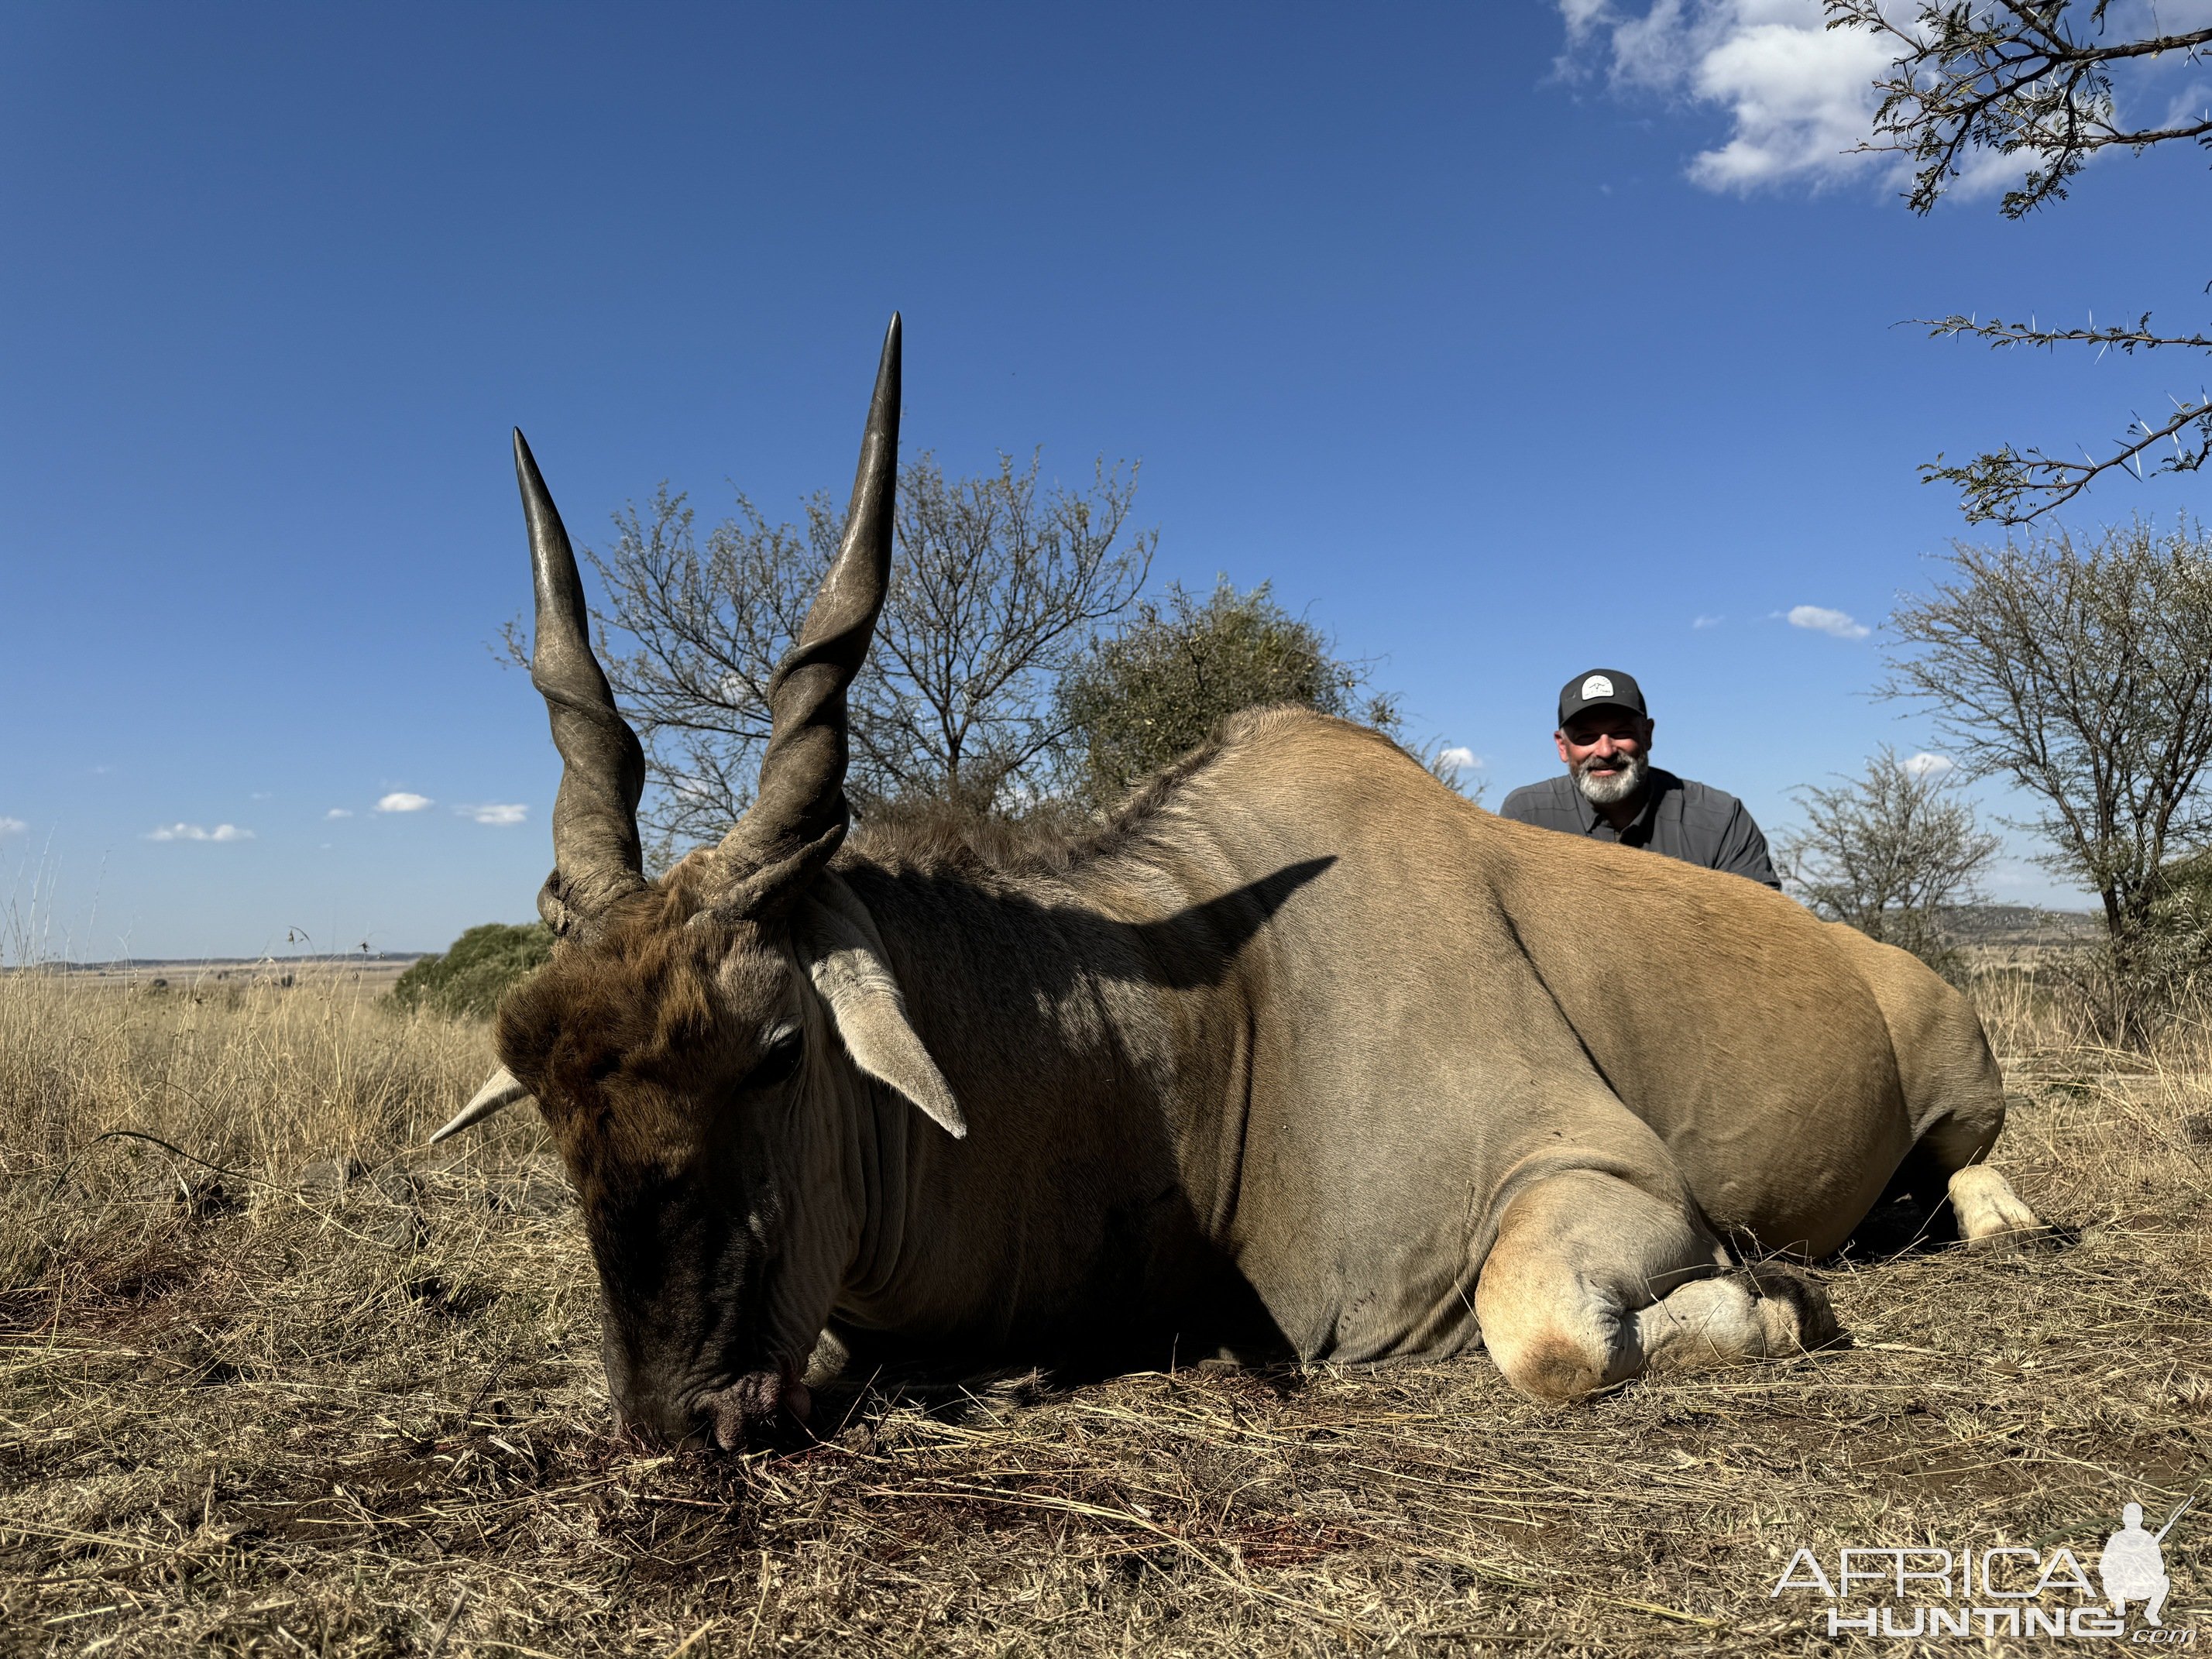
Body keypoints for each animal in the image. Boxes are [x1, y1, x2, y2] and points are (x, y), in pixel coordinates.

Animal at [440, 318, 2043, 1451]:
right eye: (547, 1095)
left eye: (778, 1051)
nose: (679, 1415)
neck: (1211, 1023)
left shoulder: (1608, 1178)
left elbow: (1550, 1338)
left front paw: (1788, 1296)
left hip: (1960, 1084)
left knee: (1969, 1167)